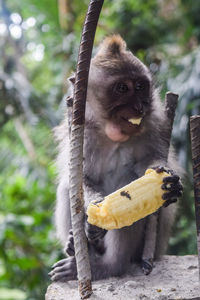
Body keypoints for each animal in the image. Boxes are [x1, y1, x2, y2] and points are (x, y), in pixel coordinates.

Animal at [49, 35, 183, 282]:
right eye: (122, 88)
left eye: (140, 87)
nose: (140, 106)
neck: (113, 135)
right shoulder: (84, 134)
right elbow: (81, 179)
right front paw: (93, 212)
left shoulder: (153, 126)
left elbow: (149, 165)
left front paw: (170, 182)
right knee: (66, 188)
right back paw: (77, 245)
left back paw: (109, 266)